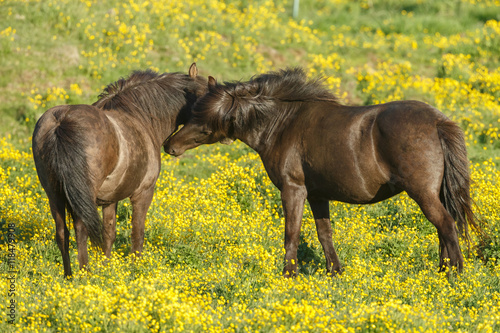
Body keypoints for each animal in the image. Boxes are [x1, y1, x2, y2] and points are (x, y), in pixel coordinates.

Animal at [31, 63, 207, 276]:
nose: (173, 148)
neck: (140, 116)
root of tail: (61, 121)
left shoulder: (109, 199)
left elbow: (109, 232)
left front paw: (107, 267)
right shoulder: (143, 193)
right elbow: (137, 233)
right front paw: (135, 268)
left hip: (54, 194)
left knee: (62, 233)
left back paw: (69, 276)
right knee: (81, 231)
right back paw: (84, 274)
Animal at [163, 67, 480, 278]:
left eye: (202, 116)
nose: (169, 145)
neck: (282, 124)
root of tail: (438, 121)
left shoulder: (293, 189)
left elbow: (291, 232)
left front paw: (288, 273)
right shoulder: (317, 195)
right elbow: (324, 232)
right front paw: (334, 271)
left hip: (422, 193)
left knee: (446, 225)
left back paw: (455, 274)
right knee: (443, 227)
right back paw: (443, 270)